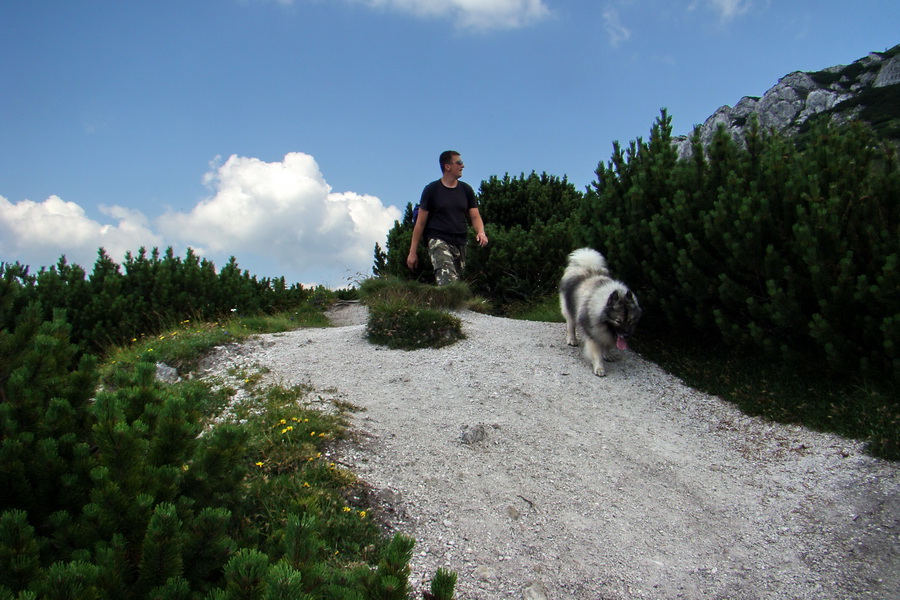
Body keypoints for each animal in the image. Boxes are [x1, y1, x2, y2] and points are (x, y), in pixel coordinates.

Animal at [560, 248, 644, 376]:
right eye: (618, 321)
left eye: (630, 321)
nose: (626, 335)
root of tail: (585, 266)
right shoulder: (593, 333)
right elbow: (596, 353)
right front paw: (599, 368)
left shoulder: (608, 334)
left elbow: (607, 345)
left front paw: (608, 354)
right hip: (568, 308)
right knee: (570, 324)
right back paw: (572, 339)